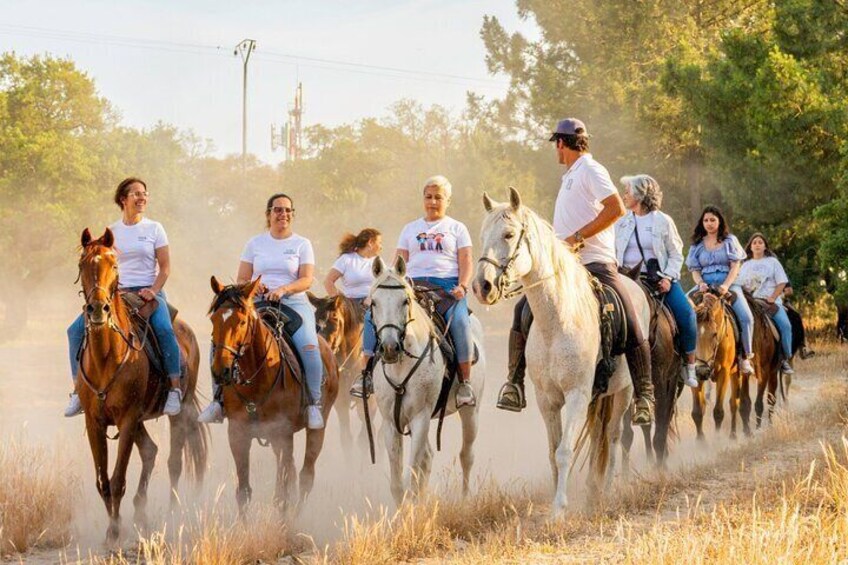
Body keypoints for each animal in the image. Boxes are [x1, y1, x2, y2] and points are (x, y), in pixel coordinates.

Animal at [76, 227, 209, 544]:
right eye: (82, 265)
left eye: (114, 264)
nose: (97, 309)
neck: (106, 357)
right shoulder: (94, 422)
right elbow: (103, 481)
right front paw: (113, 528)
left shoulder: (127, 419)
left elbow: (118, 479)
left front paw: (114, 531)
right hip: (140, 420)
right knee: (150, 451)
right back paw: (140, 513)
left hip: (179, 412)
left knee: (174, 461)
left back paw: (172, 513)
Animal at [208, 278, 338, 512]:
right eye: (214, 319)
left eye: (242, 322)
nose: (221, 371)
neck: (257, 380)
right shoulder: (238, 434)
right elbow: (244, 492)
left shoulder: (283, 433)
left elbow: (283, 495)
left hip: (315, 430)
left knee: (305, 477)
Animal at [306, 290, 376, 458]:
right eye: (315, 317)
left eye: (335, 318)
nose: (323, 346)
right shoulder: (341, 403)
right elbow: (346, 438)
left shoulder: (370, 403)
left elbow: (365, 438)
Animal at [692, 290, 752, 440]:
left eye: (714, 334)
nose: (702, 371)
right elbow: (698, 411)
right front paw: (700, 441)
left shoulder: (723, 373)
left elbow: (718, 411)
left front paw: (717, 440)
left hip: (737, 373)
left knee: (736, 402)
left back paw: (737, 433)